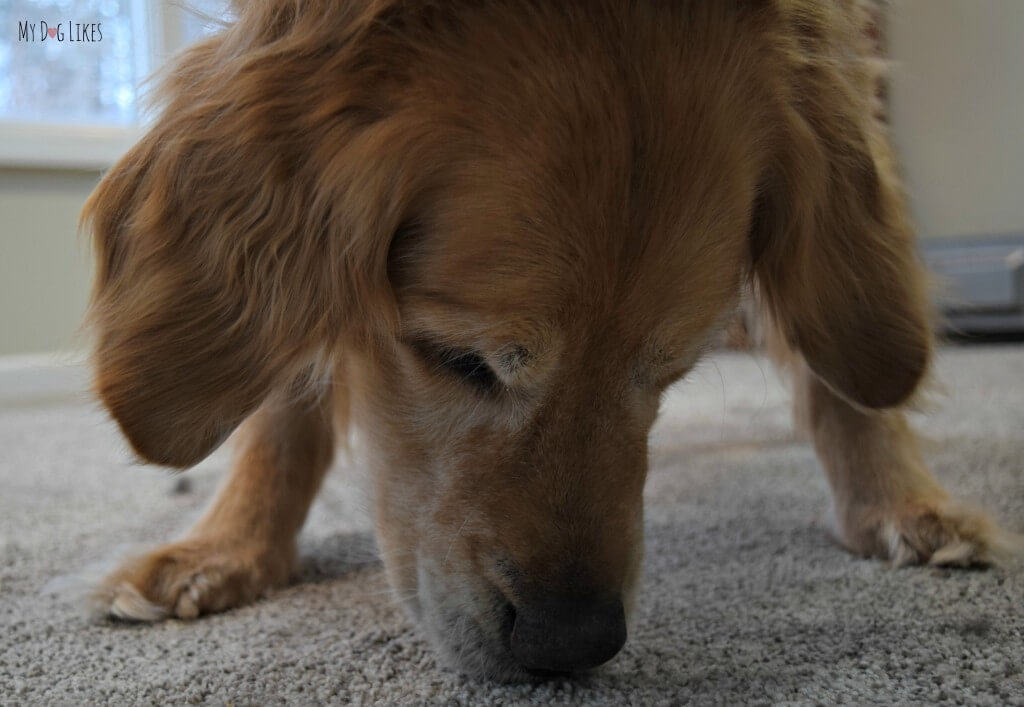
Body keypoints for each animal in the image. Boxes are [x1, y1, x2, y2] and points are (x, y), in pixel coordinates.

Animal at [83, 1, 1011, 684]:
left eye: (671, 371)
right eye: (457, 358)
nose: (569, 643)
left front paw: (898, 500)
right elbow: (285, 387)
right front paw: (230, 546)